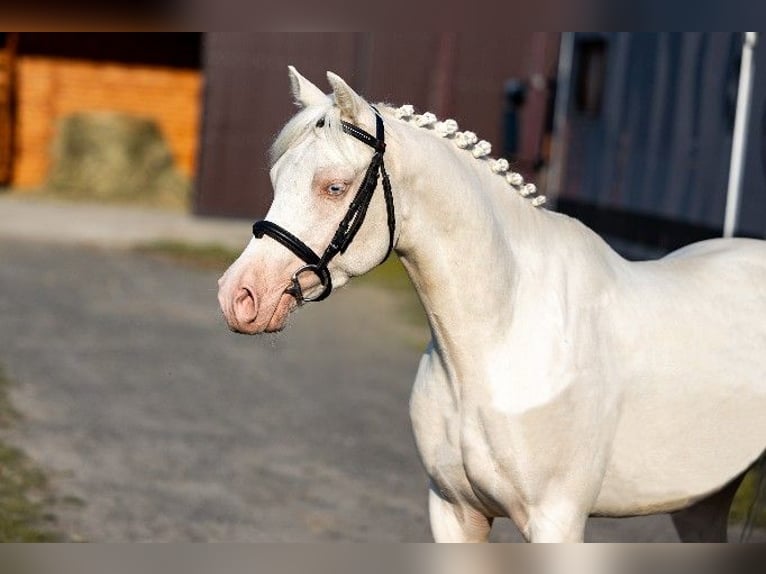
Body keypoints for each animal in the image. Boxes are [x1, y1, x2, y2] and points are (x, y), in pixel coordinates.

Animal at [218, 67, 766, 544]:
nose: (239, 296)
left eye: (333, 186)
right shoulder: (454, 512)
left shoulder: (556, 521)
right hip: (703, 501)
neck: (500, 338)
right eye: (276, 179)